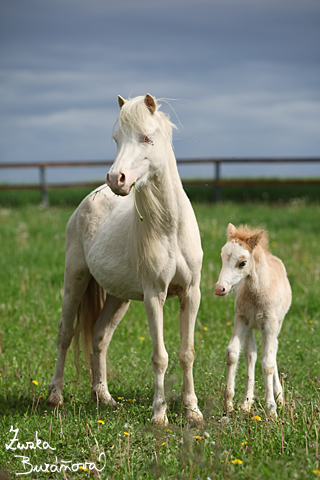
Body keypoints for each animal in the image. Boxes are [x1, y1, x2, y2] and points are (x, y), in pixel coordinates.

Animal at [47, 94, 202, 424]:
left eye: (147, 137)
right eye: (117, 139)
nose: (116, 179)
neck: (170, 229)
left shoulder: (191, 294)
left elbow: (187, 353)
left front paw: (193, 411)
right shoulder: (155, 296)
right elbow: (160, 356)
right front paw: (159, 416)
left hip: (119, 297)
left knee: (99, 336)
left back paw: (103, 397)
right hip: (75, 279)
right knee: (66, 333)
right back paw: (55, 396)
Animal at [215, 223, 292, 414]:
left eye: (242, 262)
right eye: (222, 257)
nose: (220, 288)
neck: (257, 292)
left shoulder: (270, 324)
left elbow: (268, 363)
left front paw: (272, 409)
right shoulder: (241, 319)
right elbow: (233, 352)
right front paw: (228, 404)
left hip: (277, 324)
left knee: (273, 350)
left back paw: (279, 397)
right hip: (251, 327)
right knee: (251, 354)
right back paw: (247, 402)